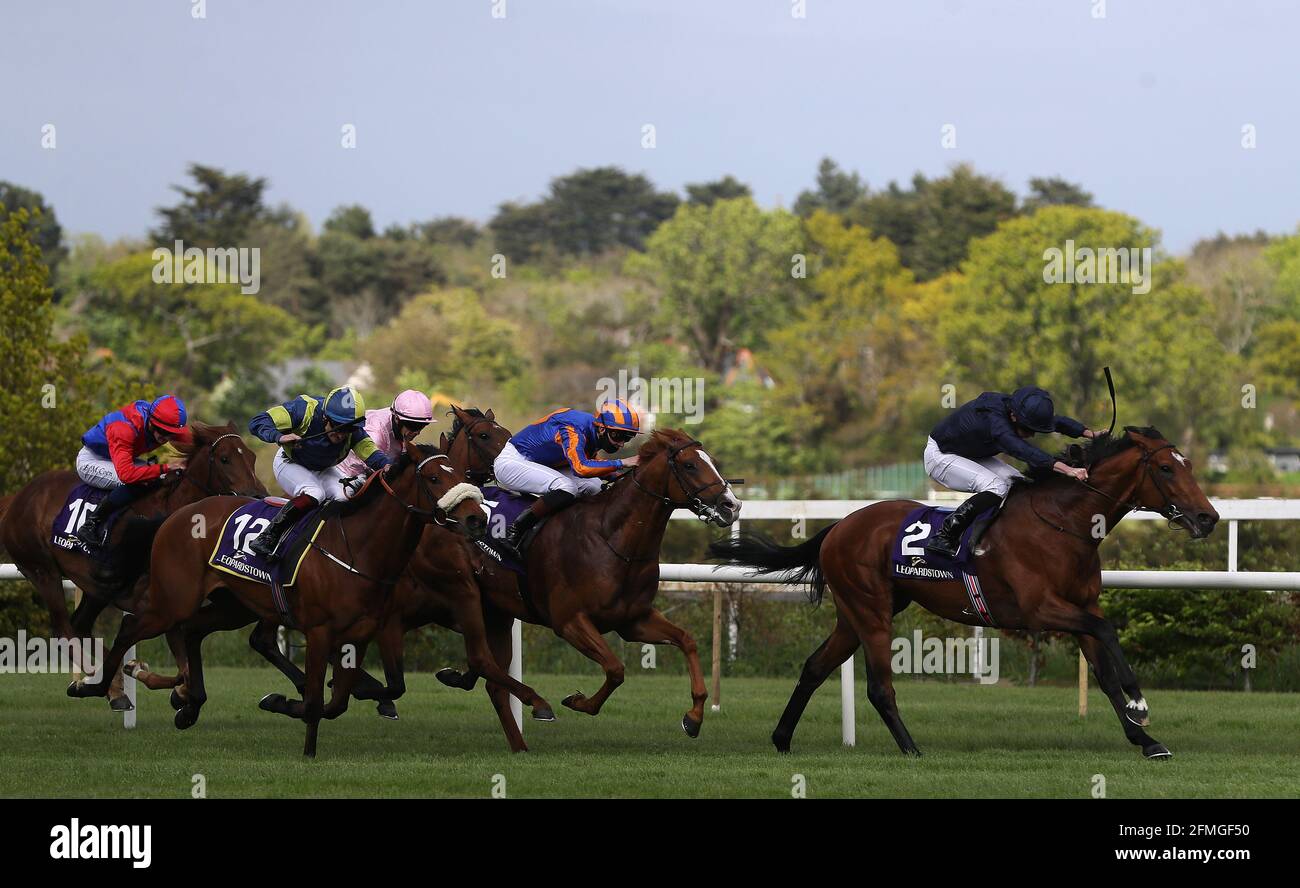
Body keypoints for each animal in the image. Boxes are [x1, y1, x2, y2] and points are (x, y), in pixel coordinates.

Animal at [0, 421, 265, 707]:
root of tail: (18, 497)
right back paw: (100, 682)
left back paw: (113, 685)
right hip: (43, 571)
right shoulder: (157, 607)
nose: (258, 496)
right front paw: (135, 673)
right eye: (225, 459)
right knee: (63, 628)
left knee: (79, 624)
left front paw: (148, 677)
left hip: (94, 587)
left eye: (252, 457)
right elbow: (180, 669)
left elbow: (184, 673)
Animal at [68, 444, 488, 759]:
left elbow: (344, 700)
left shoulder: (360, 634)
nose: (475, 519)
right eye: (434, 478)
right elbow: (321, 699)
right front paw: (306, 745)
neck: (358, 549)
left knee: (193, 632)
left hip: (232, 606)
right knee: (132, 626)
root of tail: (176, 515)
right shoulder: (320, 631)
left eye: (461, 475)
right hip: (174, 599)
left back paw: (189, 705)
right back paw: (95, 687)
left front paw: (283, 703)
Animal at [712, 426, 1216, 759]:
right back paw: (911, 749)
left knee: (815, 667)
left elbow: (1105, 671)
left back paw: (782, 739)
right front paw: (1140, 703)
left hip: (854, 613)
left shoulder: (1079, 605)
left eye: (1189, 465)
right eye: (1167, 468)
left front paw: (1145, 740)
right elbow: (1108, 632)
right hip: (871, 611)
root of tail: (838, 526)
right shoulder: (1042, 610)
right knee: (878, 686)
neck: (1064, 523)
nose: (1208, 518)